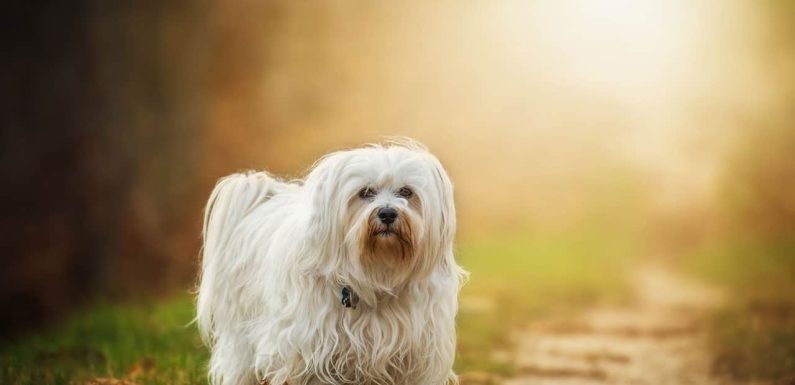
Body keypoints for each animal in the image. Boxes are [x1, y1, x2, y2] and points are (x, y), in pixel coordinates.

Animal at [197, 141, 466, 384]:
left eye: (407, 192)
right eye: (365, 192)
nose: (388, 213)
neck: (376, 273)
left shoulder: (415, 357)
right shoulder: (309, 354)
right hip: (241, 339)